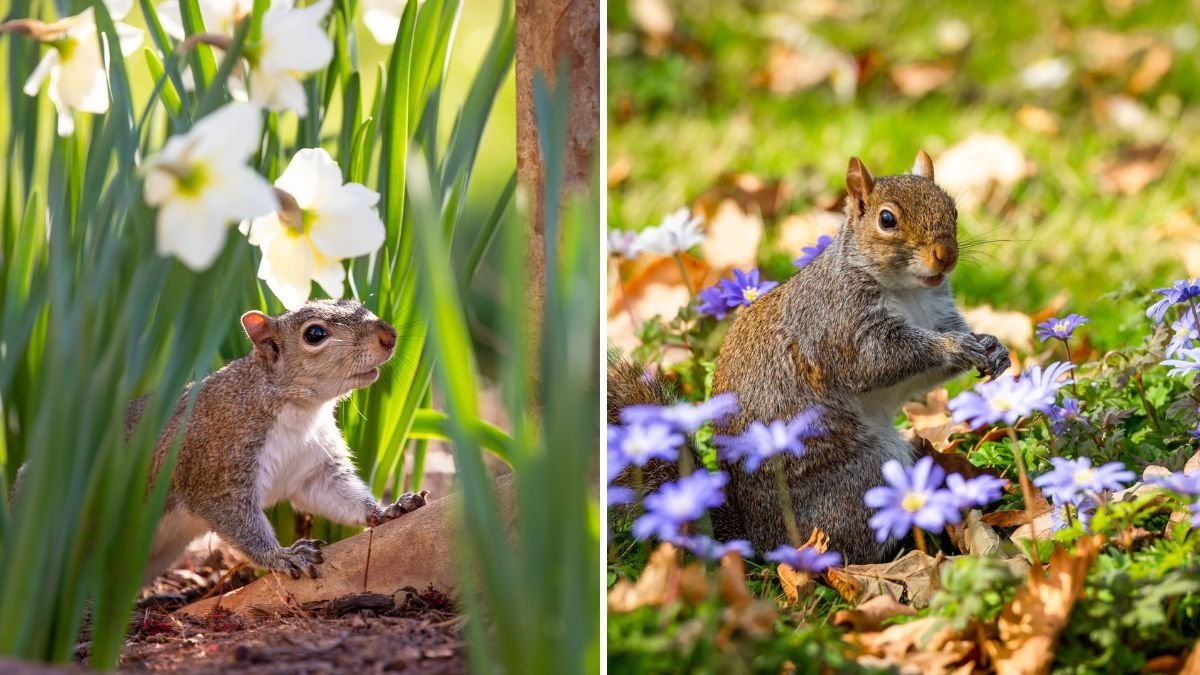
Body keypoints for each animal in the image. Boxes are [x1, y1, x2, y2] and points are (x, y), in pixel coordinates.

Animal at [16, 299, 429, 586]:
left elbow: (339, 496)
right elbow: (237, 520)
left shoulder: (314, 469)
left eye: (358, 303)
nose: (389, 336)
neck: (298, 411)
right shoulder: (217, 469)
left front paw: (388, 509)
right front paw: (282, 556)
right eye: (315, 334)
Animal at [610, 152, 1011, 563]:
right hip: (863, 475)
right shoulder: (839, 324)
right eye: (886, 220)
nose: (945, 256)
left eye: (953, 209)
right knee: (853, 548)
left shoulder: (938, 313)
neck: (908, 292)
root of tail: (760, 538)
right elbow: (878, 361)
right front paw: (953, 346)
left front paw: (992, 347)